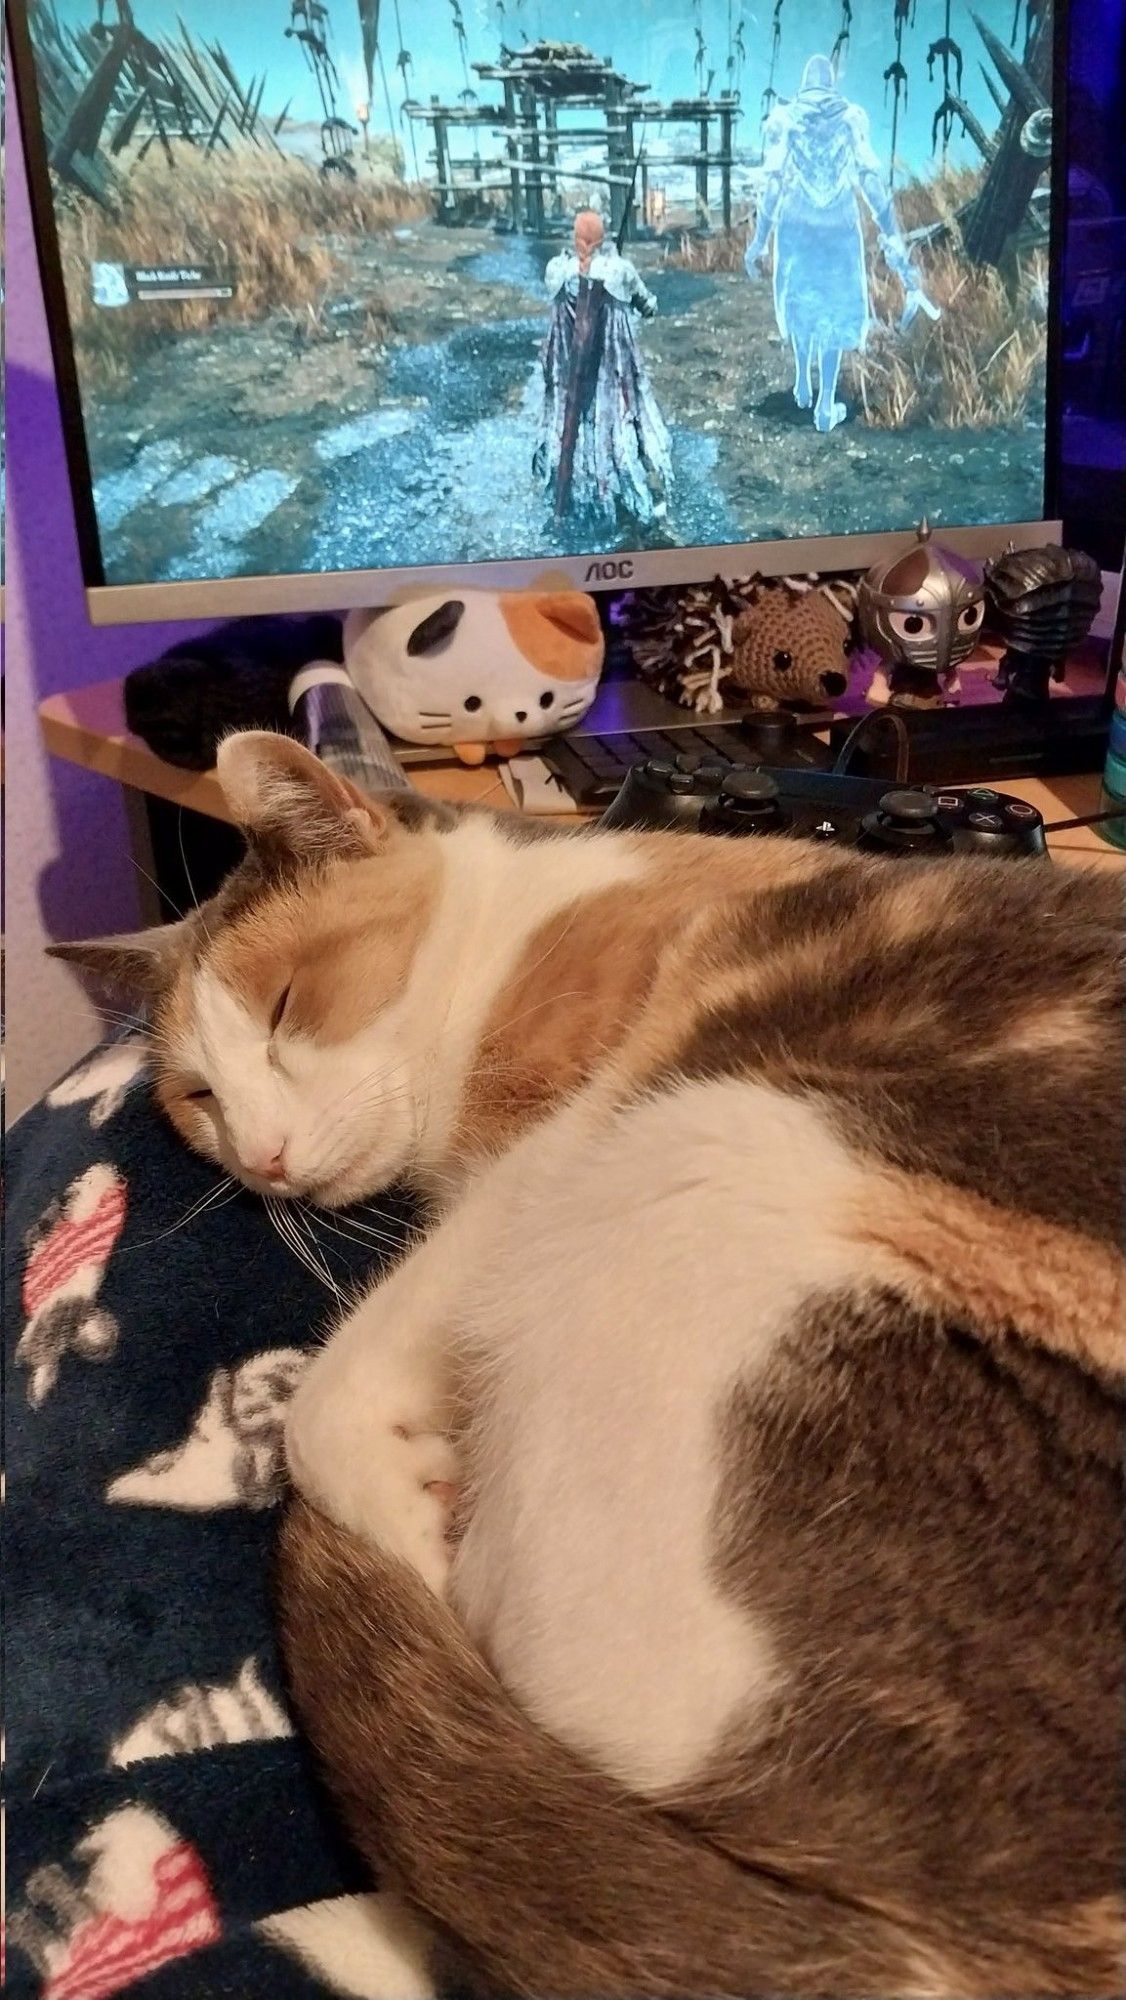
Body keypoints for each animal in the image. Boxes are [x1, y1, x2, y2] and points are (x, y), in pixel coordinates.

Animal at [61, 736, 1126, 2000]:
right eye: (199, 1097)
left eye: (287, 1006)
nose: (262, 1158)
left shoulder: (562, 1130)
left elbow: (332, 1397)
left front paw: (408, 1521)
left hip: (711, 1151)